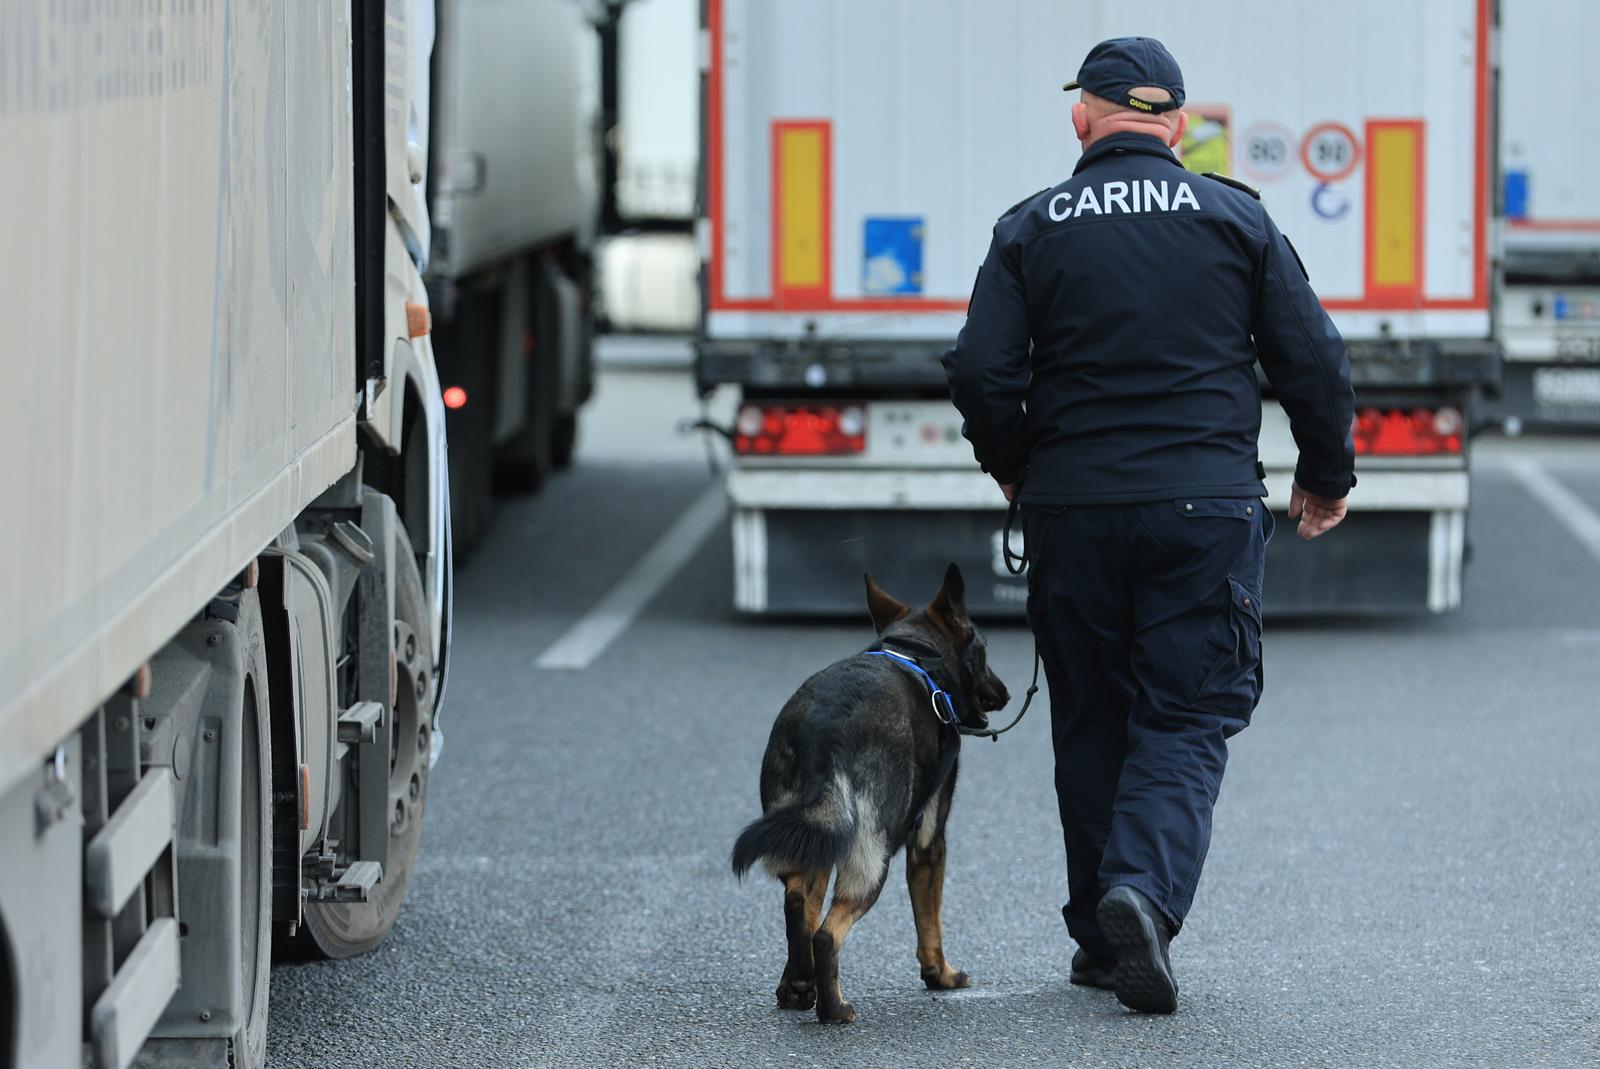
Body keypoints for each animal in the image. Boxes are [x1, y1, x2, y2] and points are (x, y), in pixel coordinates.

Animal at [732, 563, 1004, 1024]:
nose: (1005, 693)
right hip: (872, 858)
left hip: (814, 835)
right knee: (827, 933)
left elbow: (807, 904)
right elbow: (930, 918)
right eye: (983, 651)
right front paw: (942, 975)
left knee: (797, 905)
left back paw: (800, 984)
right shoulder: (929, 839)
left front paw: (797, 984)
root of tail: (823, 733)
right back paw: (835, 1009)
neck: (914, 654)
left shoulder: (824, 839)